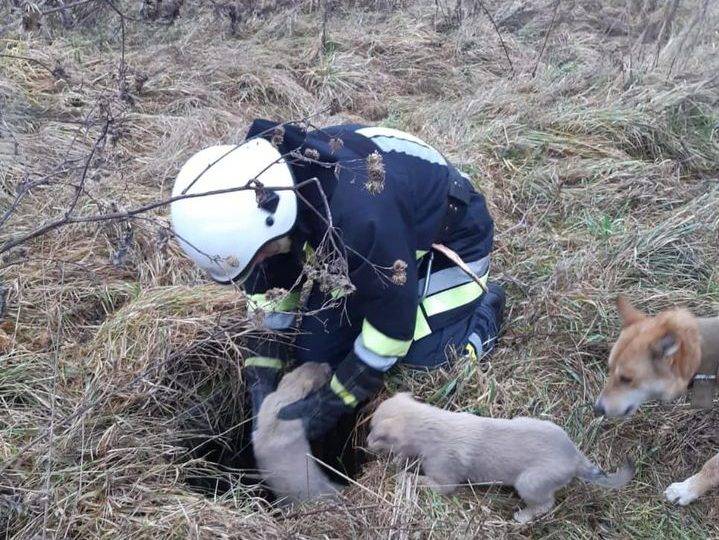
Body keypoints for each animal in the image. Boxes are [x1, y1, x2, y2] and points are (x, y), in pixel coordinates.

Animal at [368, 392, 632, 524]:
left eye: (373, 431)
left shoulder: (444, 481)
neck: (431, 426)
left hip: (529, 483)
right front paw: (399, 462)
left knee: (545, 504)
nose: (366, 442)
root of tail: (575, 456)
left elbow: (419, 480)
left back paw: (523, 516)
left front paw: (402, 476)